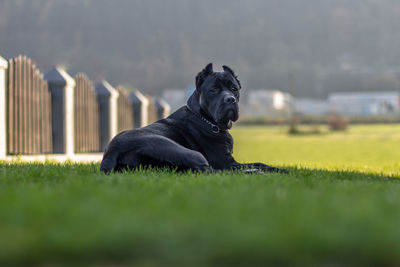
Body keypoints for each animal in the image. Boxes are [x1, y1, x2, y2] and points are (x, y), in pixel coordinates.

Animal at [101, 64, 286, 175]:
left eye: (234, 88)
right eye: (213, 90)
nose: (230, 99)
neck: (207, 120)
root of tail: (112, 151)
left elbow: (260, 162)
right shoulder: (227, 162)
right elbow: (258, 163)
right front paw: (281, 170)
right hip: (185, 151)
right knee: (213, 171)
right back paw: (254, 172)